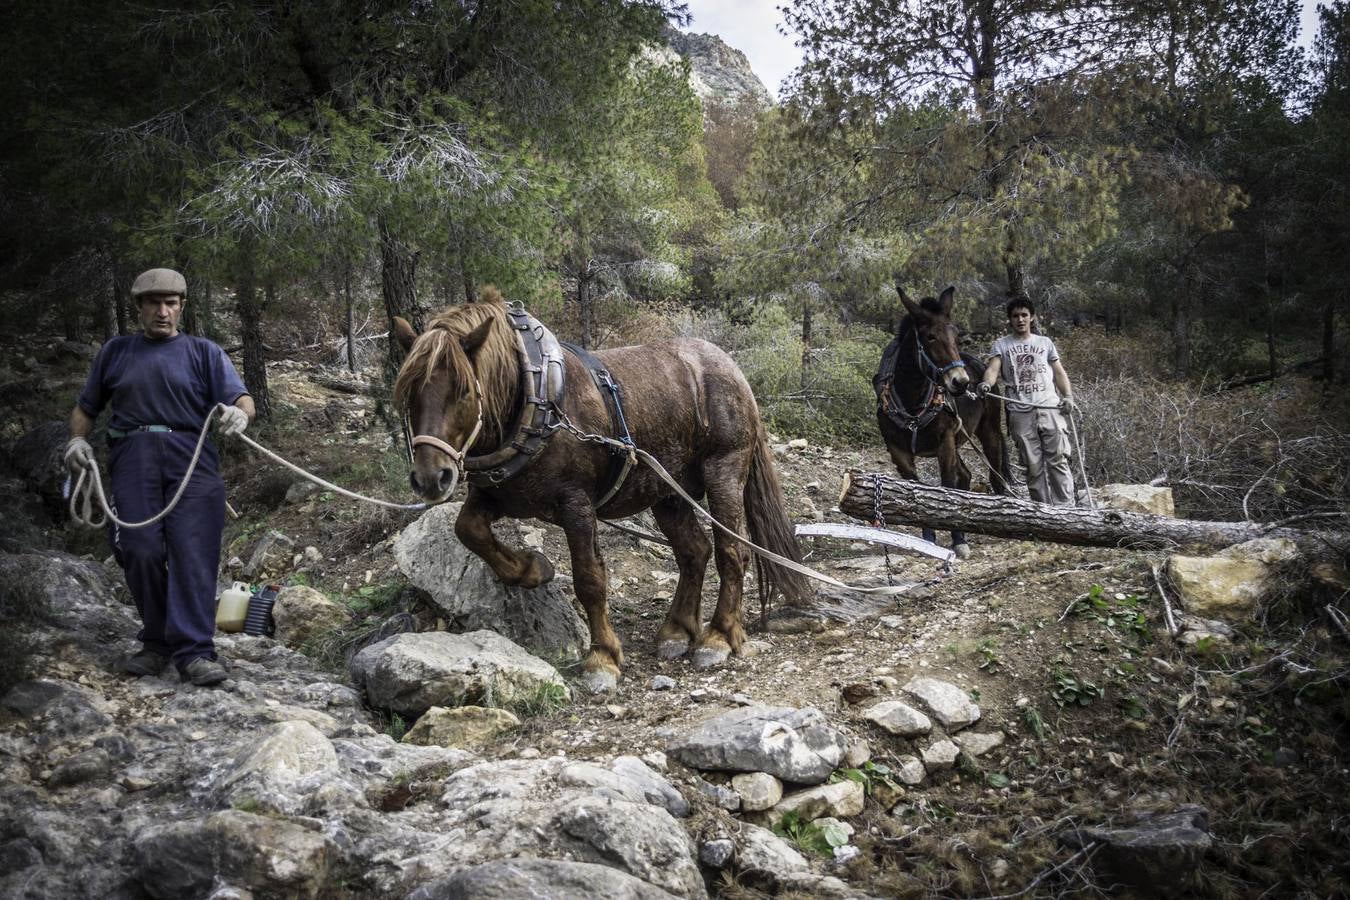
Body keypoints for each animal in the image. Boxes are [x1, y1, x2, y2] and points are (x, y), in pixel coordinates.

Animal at [394, 288, 804, 690]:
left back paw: (719, 636)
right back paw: (676, 630)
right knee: (694, 551)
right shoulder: (497, 495)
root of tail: (732, 369)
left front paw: (602, 656)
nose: (431, 478)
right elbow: (468, 530)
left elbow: (589, 578)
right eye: (409, 394)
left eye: (464, 392)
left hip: (724, 472)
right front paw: (532, 569)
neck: (536, 397)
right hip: (668, 492)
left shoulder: (576, 504)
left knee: (732, 551)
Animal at [869, 287, 1009, 555]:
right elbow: (916, 491)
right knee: (965, 475)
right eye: (931, 337)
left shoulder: (945, 443)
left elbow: (947, 487)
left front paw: (959, 539)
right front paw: (928, 537)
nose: (961, 382)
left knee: (995, 474)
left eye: (955, 335)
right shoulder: (899, 451)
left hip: (989, 431)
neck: (912, 401)